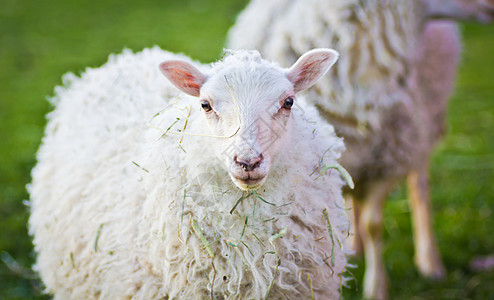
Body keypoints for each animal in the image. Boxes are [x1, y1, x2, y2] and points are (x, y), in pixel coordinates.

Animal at [228, 1, 494, 298]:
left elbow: (373, 223)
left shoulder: (386, 158)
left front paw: (376, 287)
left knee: (420, 185)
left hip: (424, 124)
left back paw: (429, 261)